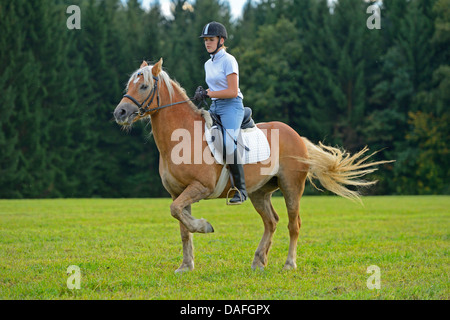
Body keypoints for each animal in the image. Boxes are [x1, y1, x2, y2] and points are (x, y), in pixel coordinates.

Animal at [113, 59, 390, 272]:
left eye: (144, 85)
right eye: (129, 85)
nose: (120, 113)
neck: (181, 138)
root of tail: (296, 136)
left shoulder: (200, 187)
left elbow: (179, 214)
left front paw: (205, 226)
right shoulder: (178, 192)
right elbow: (181, 225)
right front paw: (186, 265)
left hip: (292, 188)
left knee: (293, 224)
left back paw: (289, 264)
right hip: (259, 193)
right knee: (271, 222)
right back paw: (258, 261)